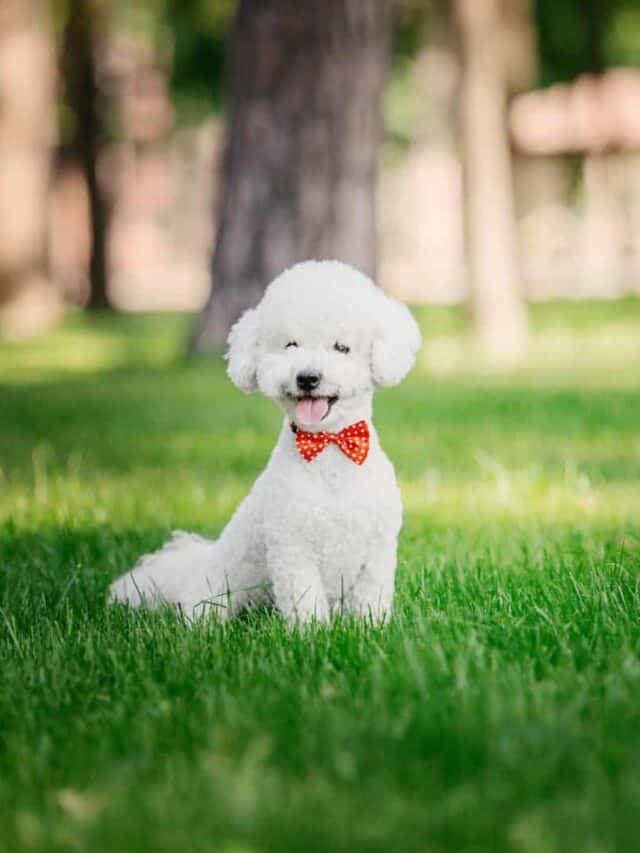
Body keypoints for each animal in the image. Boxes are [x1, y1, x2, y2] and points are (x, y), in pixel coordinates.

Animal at [108, 258, 422, 620]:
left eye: (342, 347)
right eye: (291, 345)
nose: (307, 377)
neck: (329, 450)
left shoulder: (377, 550)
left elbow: (370, 599)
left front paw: (369, 626)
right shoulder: (292, 548)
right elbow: (305, 601)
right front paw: (313, 631)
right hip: (217, 588)